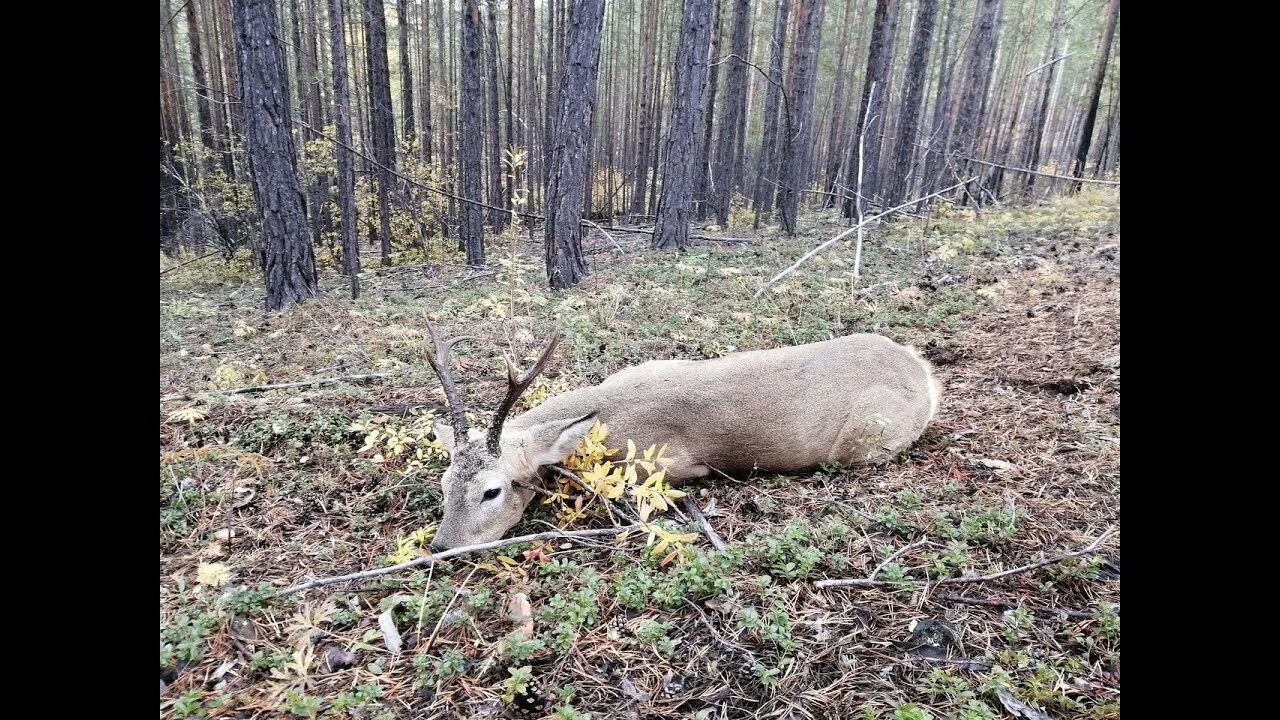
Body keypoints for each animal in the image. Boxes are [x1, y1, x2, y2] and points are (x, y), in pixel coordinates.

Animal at [424, 319, 936, 548]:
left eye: (492, 491)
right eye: (444, 484)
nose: (440, 546)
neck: (602, 414)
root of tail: (924, 373)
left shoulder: (671, 463)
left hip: (866, 440)